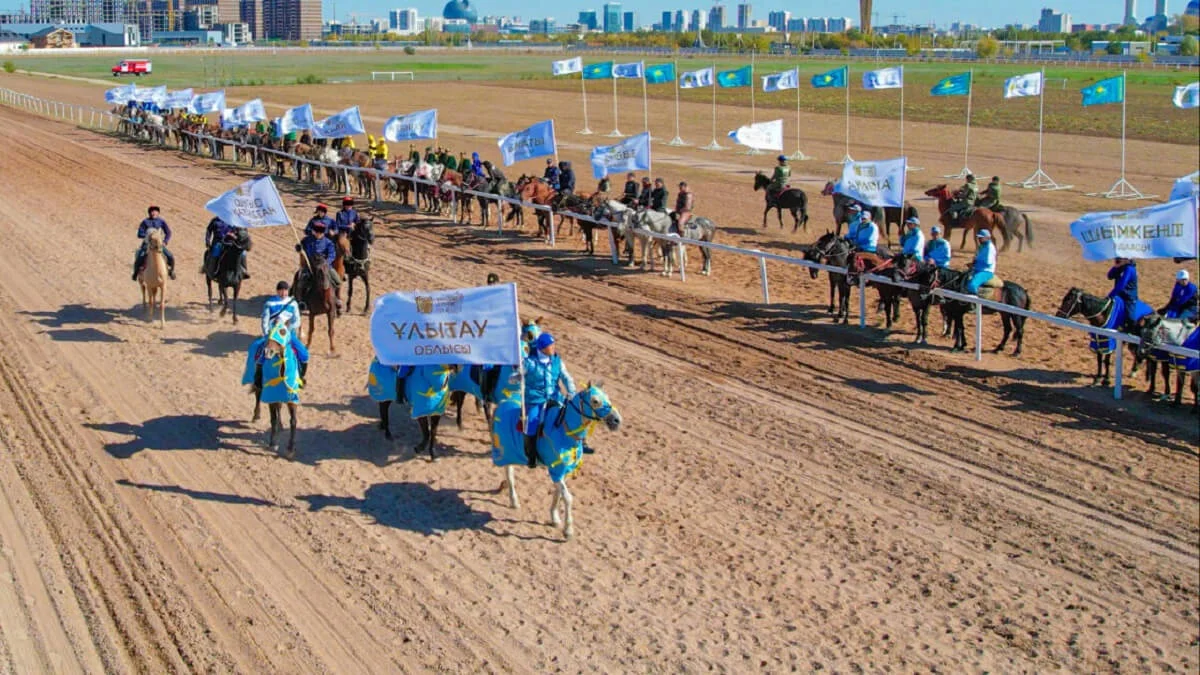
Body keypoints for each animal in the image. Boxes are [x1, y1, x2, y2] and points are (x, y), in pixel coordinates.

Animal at [241, 319, 307, 456]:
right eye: (270, 330)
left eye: (282, 331)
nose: (267, 352)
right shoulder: (271, 395)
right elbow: (273, 419)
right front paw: (273, 443)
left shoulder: (291, 397)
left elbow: (293, 420)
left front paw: (290, 448)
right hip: (260, 385)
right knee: (258, 396)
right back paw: (256, 415)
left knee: (279, 407)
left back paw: (281, 426)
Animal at [487, 384, 624, 535]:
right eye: (595, 401)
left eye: (607, 397)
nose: (617, 420)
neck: (565, 432)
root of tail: (502, 402)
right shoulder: (556, 472)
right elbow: (568, 498)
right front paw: (568, 529)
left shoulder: (564, 473)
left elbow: (558, 495)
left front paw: (554, 518)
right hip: (505, 452)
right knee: (509, 474)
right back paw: (513, 500)